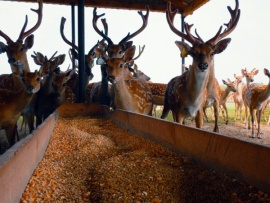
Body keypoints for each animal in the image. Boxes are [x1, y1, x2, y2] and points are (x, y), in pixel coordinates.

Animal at [160, 0, 240, 132]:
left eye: (212, 53)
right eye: (193, 53)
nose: (203, 65)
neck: (193, 101)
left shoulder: (199, 111)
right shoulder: (178, 110)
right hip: (167, 104)